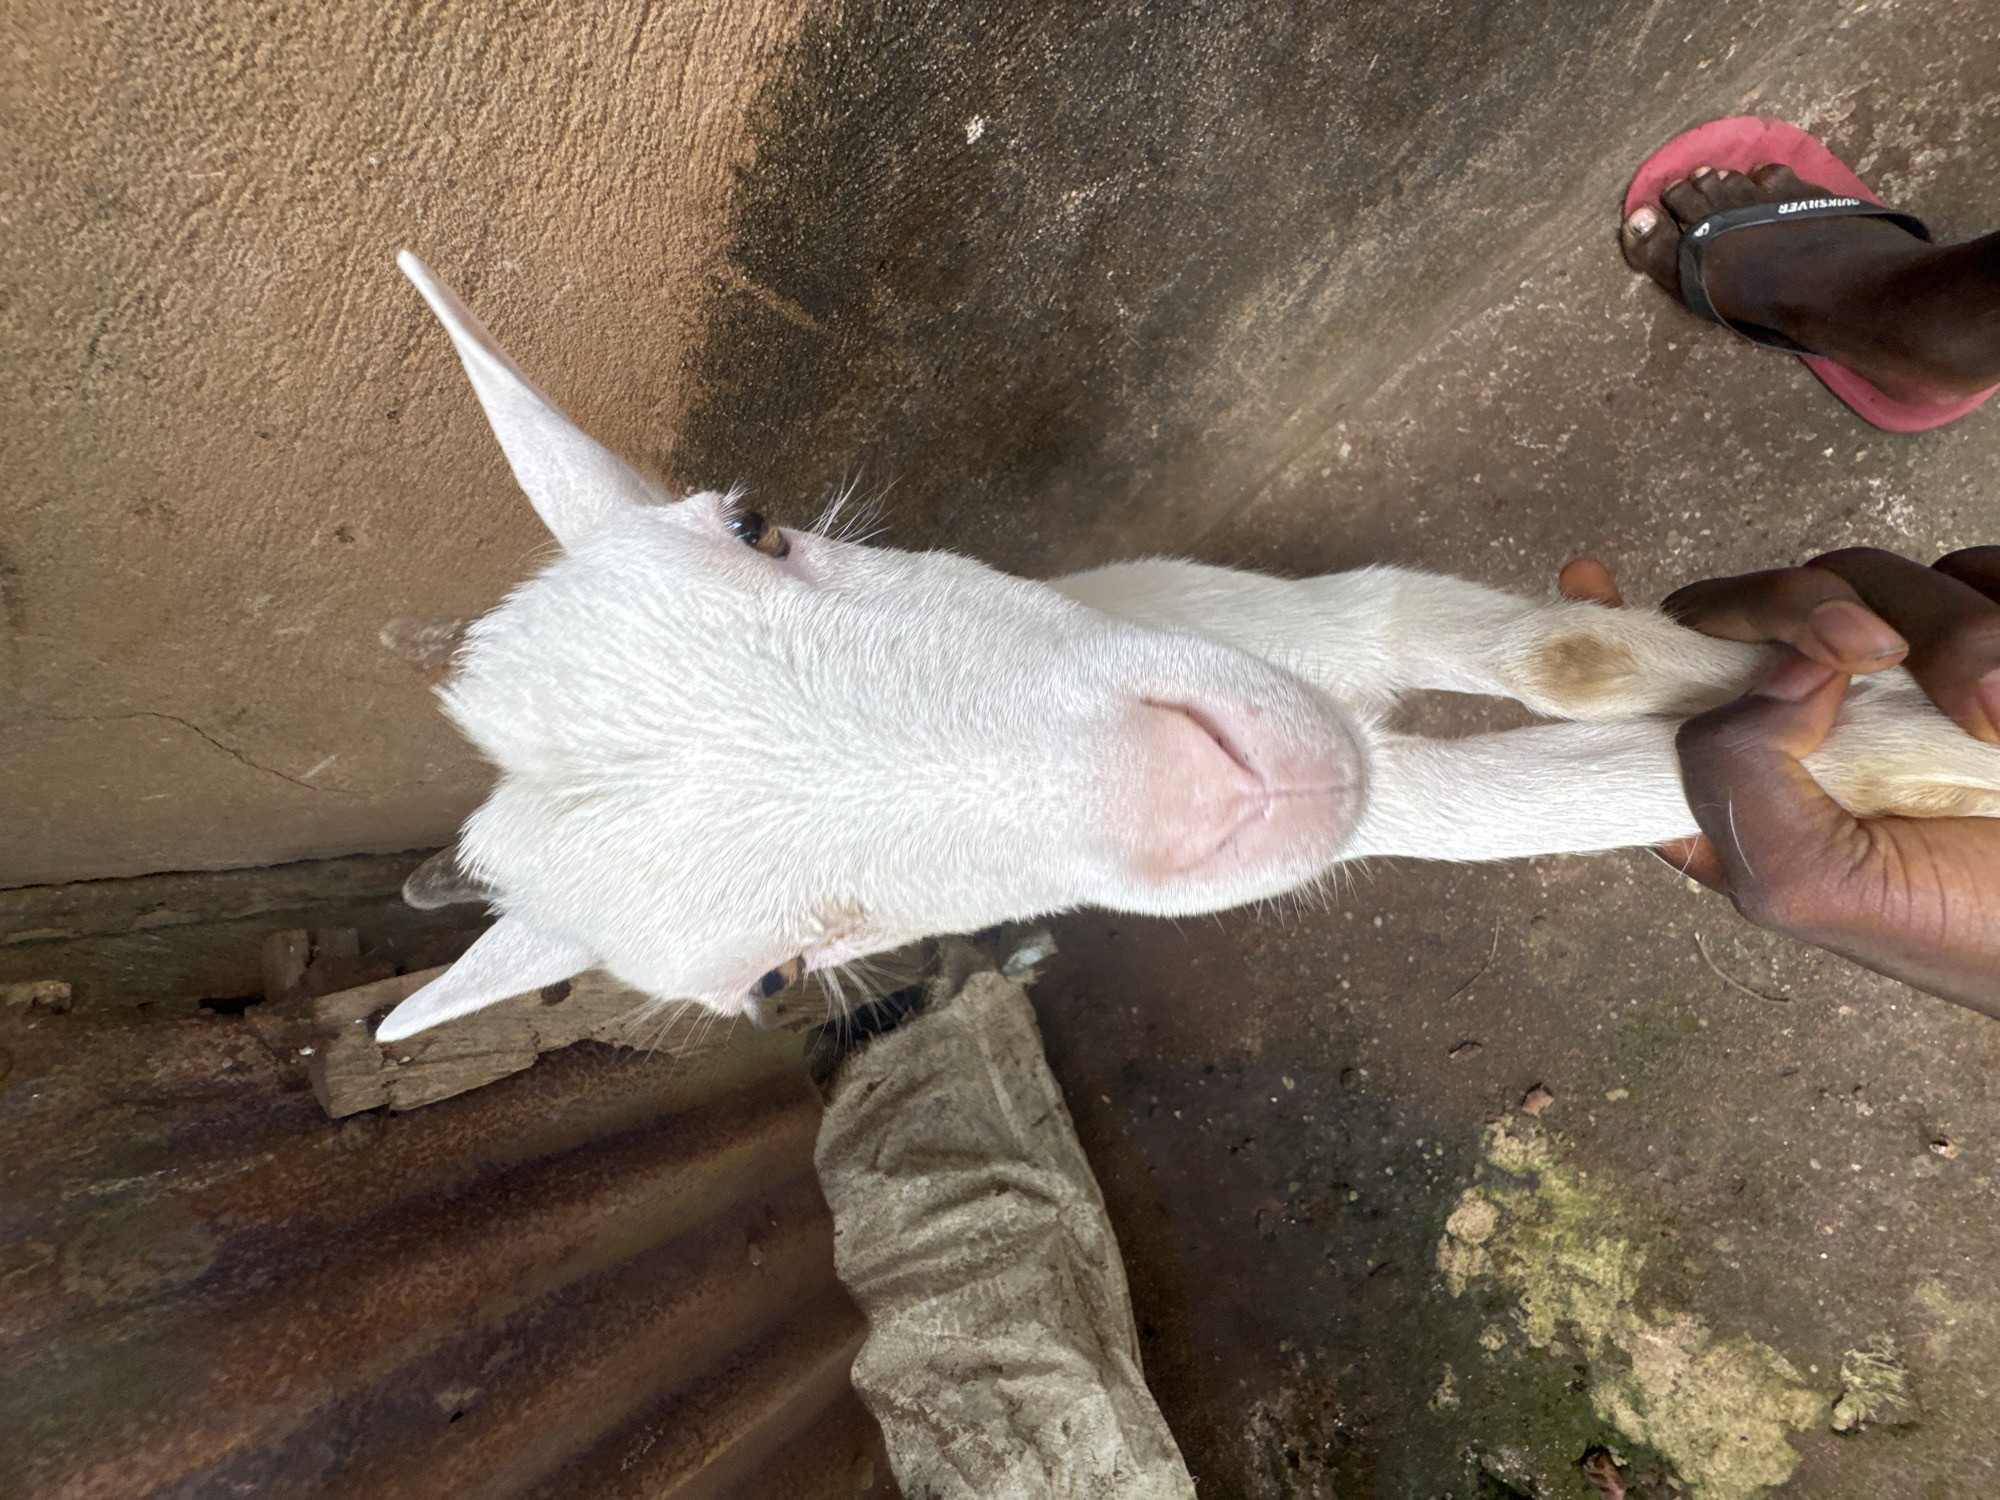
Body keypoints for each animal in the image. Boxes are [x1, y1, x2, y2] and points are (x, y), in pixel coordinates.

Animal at [375, 252, 2000, 1043]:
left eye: (760, 523)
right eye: (773, 982)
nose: (1222, 785)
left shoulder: (1278, 615)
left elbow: (1550, 658)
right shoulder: (1362, 782)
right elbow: (1560, 786)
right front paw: (1910, 743)